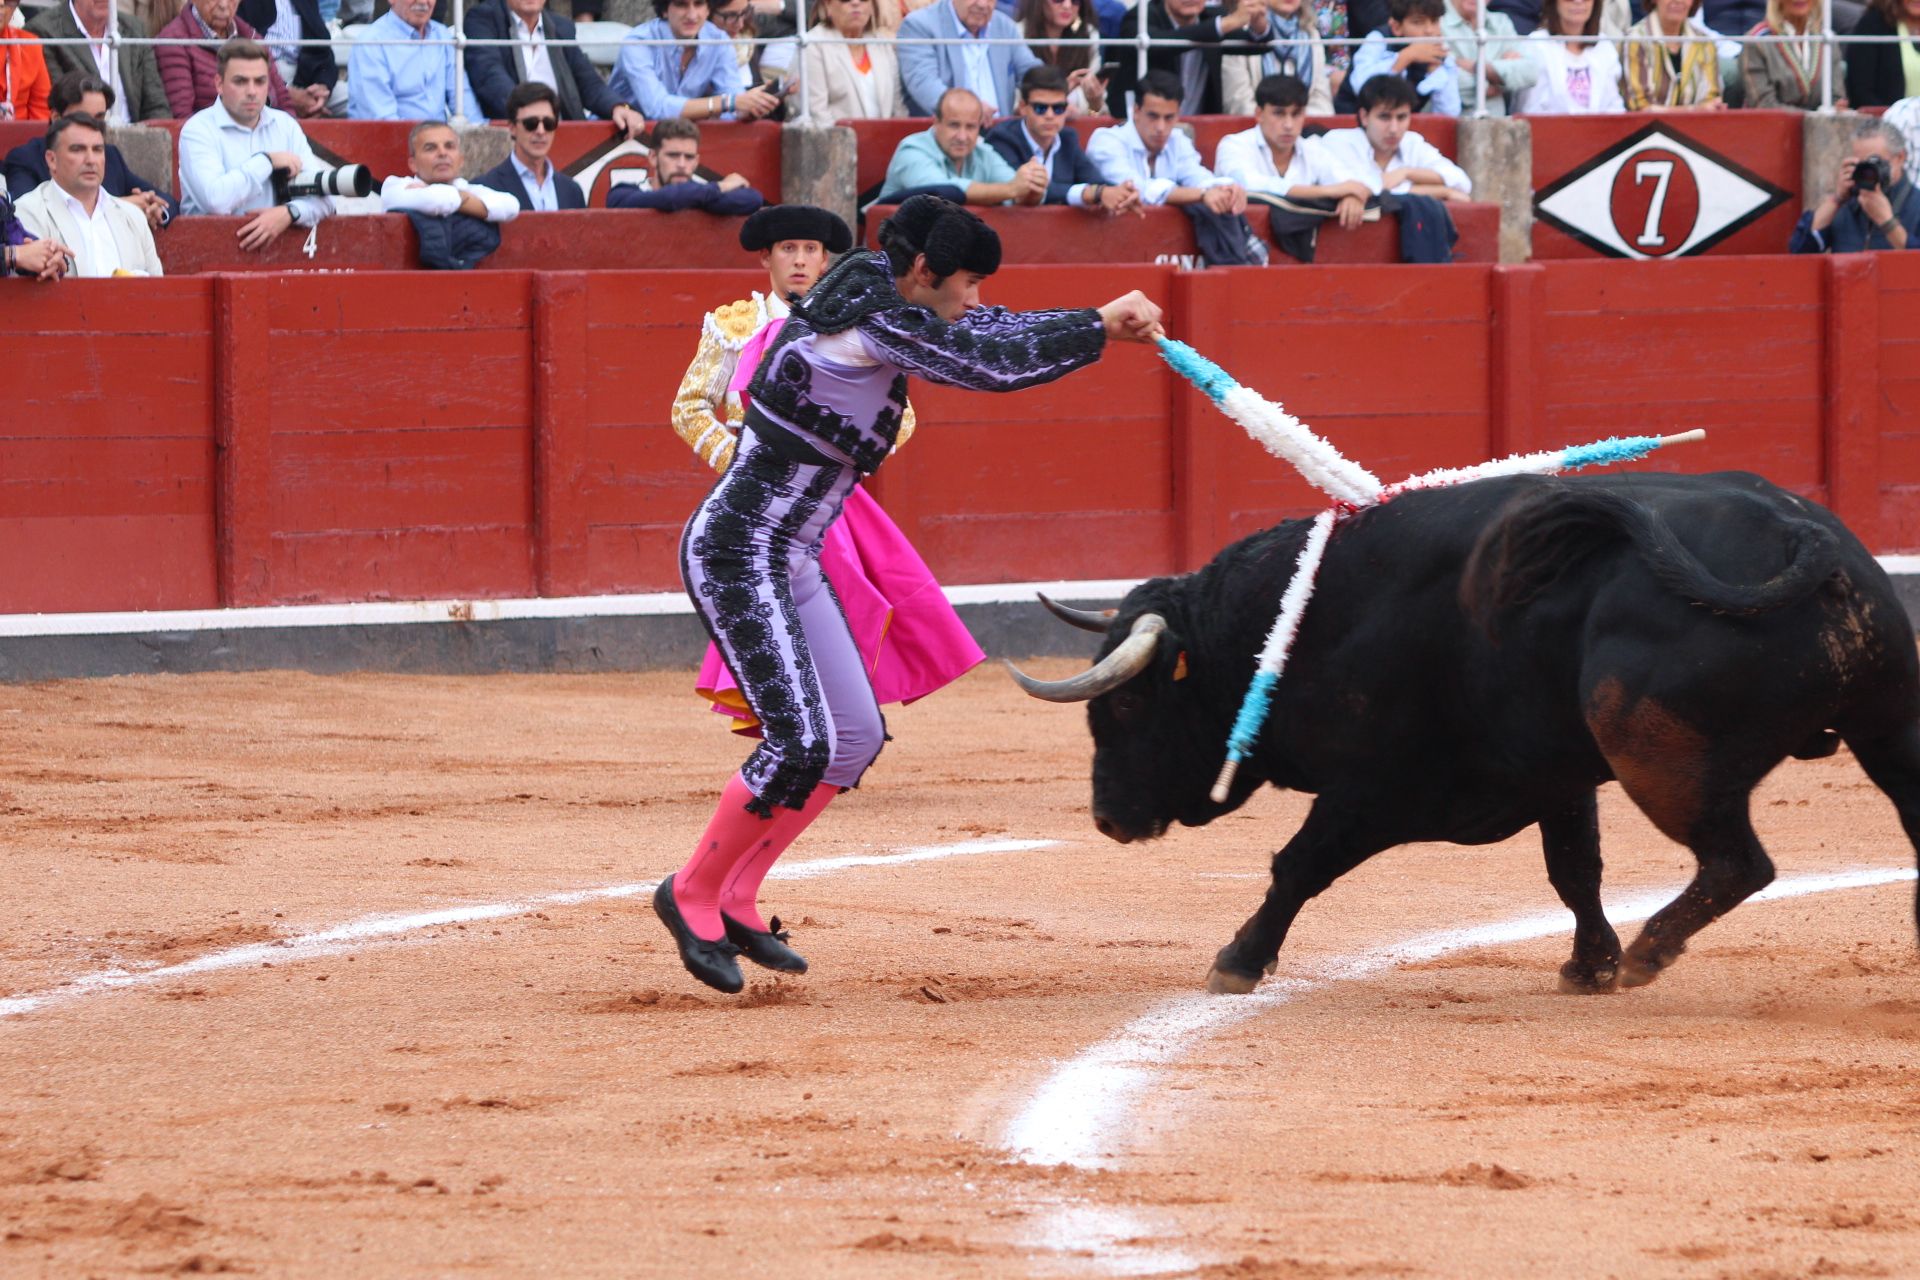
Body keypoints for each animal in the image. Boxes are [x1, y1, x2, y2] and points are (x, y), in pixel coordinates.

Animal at [1006, 475, 1920, 997]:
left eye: (1127, 707)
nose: (1108, 819)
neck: (1294, 624)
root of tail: (1806, 539)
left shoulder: (1375, 787)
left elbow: (1297, 866)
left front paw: (1236, 960)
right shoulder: (1555, 775)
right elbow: (1574, 870)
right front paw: (1586, 965)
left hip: (1657, 756)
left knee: (1738, 862)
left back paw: (1650, 952)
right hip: (1888, 730)